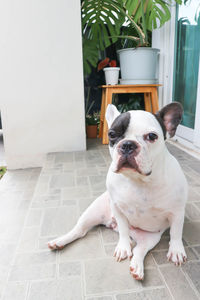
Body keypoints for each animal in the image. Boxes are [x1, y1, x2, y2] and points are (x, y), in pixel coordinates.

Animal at [48, 103, 188, 282]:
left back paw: (137, 267)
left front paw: (176, 250)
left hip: (150, 238)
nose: (127, 144)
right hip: (93, 211)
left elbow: (176, 232)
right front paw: (122, 247)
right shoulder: (117, 208)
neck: (138, 181)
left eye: (152, 136)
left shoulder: (177, 212)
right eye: (112, 134)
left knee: (139, 250)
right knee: (79, 231)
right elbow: (123, 229)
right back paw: (59, 241)